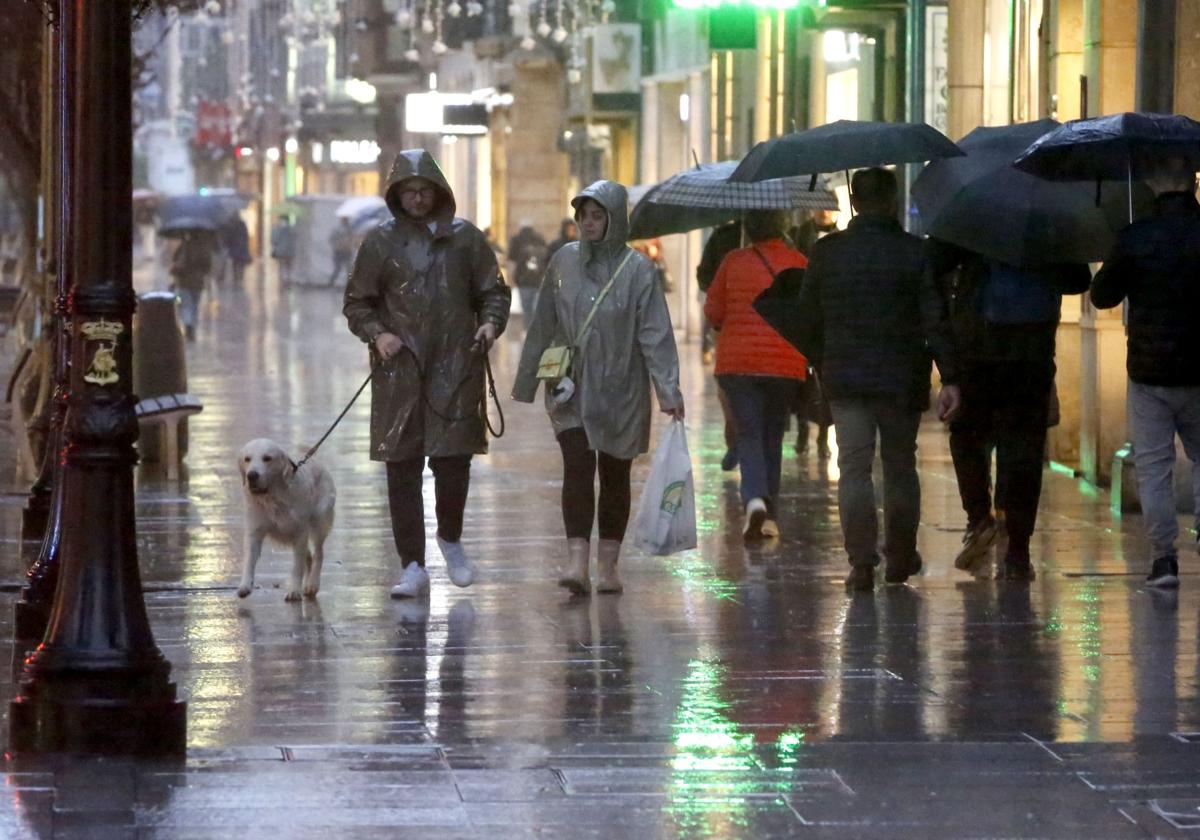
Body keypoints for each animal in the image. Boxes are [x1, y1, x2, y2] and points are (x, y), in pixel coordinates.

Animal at [237, 436, 336, 600]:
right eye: (247, 459)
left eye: (267, 458)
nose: (252, 475)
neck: (273, 498)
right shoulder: (254, 531)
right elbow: (249, 561)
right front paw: (245, 586)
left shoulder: (300, 532)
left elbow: (297, 566)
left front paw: (294, 590)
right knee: (308, 556)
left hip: (318, 522)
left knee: (318, 553)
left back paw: (312, 584)